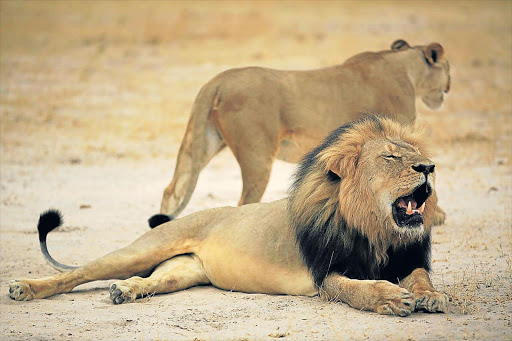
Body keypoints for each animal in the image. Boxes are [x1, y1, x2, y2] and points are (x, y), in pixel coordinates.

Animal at [8, 115, 448, 314]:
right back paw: (25, 288)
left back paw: (125, 291)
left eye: (416, 155)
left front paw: (431, 297)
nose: (429, 167)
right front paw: (390, 298)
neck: (376, 231)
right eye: (392, 158)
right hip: (144, 248)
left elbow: (421, 277)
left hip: (182, 271)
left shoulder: (406, 257)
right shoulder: (325, 274)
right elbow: (358, 289)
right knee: (76, 274)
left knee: (151, 280)